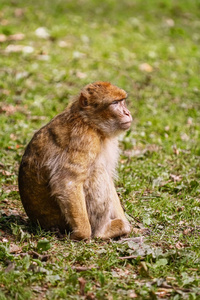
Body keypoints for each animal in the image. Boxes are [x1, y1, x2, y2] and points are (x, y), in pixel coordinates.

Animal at [18, 81, 133, 240]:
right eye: (115, 103)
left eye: (122, 101)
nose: (127, 112)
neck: (90, 123)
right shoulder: (84, 140)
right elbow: (67, 182)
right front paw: (81, 234)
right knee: (96, 171)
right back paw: (102, 231)